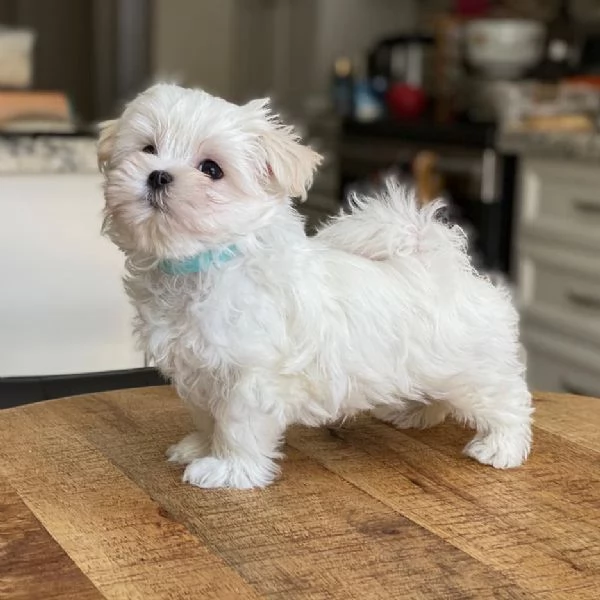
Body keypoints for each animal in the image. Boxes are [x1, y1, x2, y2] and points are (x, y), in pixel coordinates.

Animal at [99, 83, 536, 488]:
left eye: (211, 169)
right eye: (148, 148)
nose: (158, 174)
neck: (205, 260)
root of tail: (443, 265)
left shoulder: (251, 375)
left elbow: (237, 424)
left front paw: (229, 470)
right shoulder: (198, 372)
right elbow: (207, 416)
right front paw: (199, 446)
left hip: (474, 371)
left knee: (509, 399)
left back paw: (502, 447)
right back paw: (412, 411)